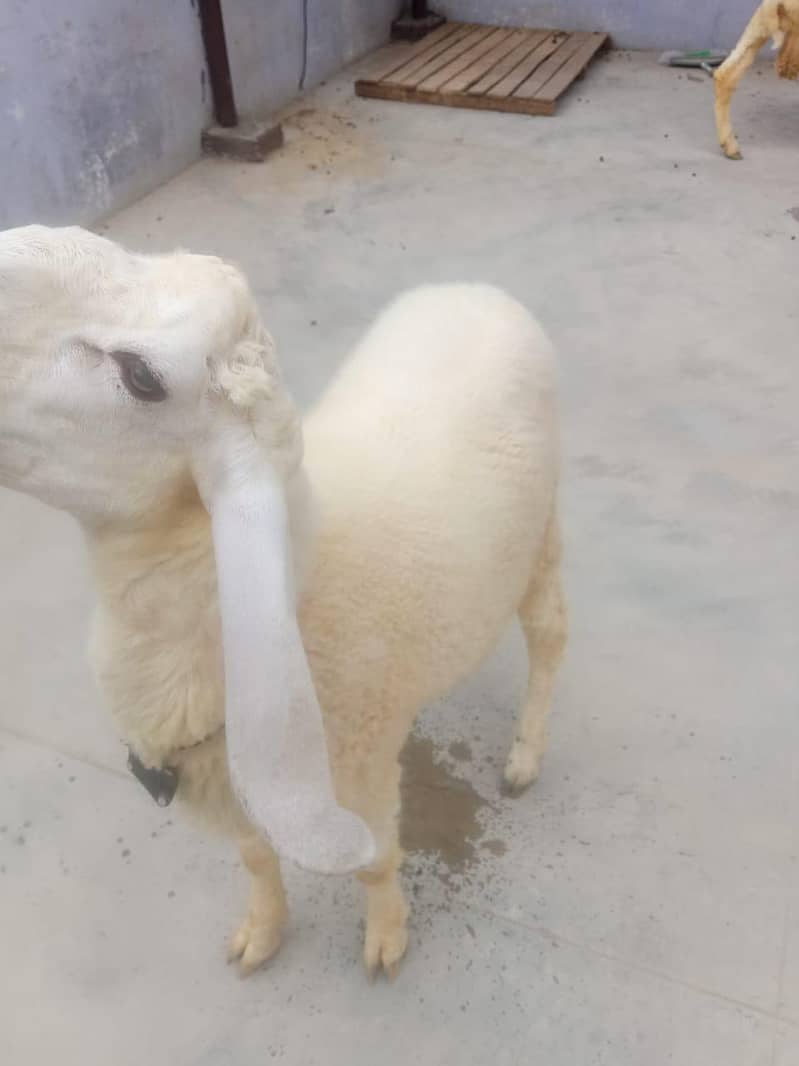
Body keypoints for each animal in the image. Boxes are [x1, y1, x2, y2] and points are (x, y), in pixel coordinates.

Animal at [0, 225, 566, 978]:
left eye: (143, 377)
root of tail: (476, 289)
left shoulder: (357, 779)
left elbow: (374, 862)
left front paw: (385, 936)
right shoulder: (241, 788)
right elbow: (255, 858)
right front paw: (262, 931)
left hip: (542, 531)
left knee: (550, 635)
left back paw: (525, 756)